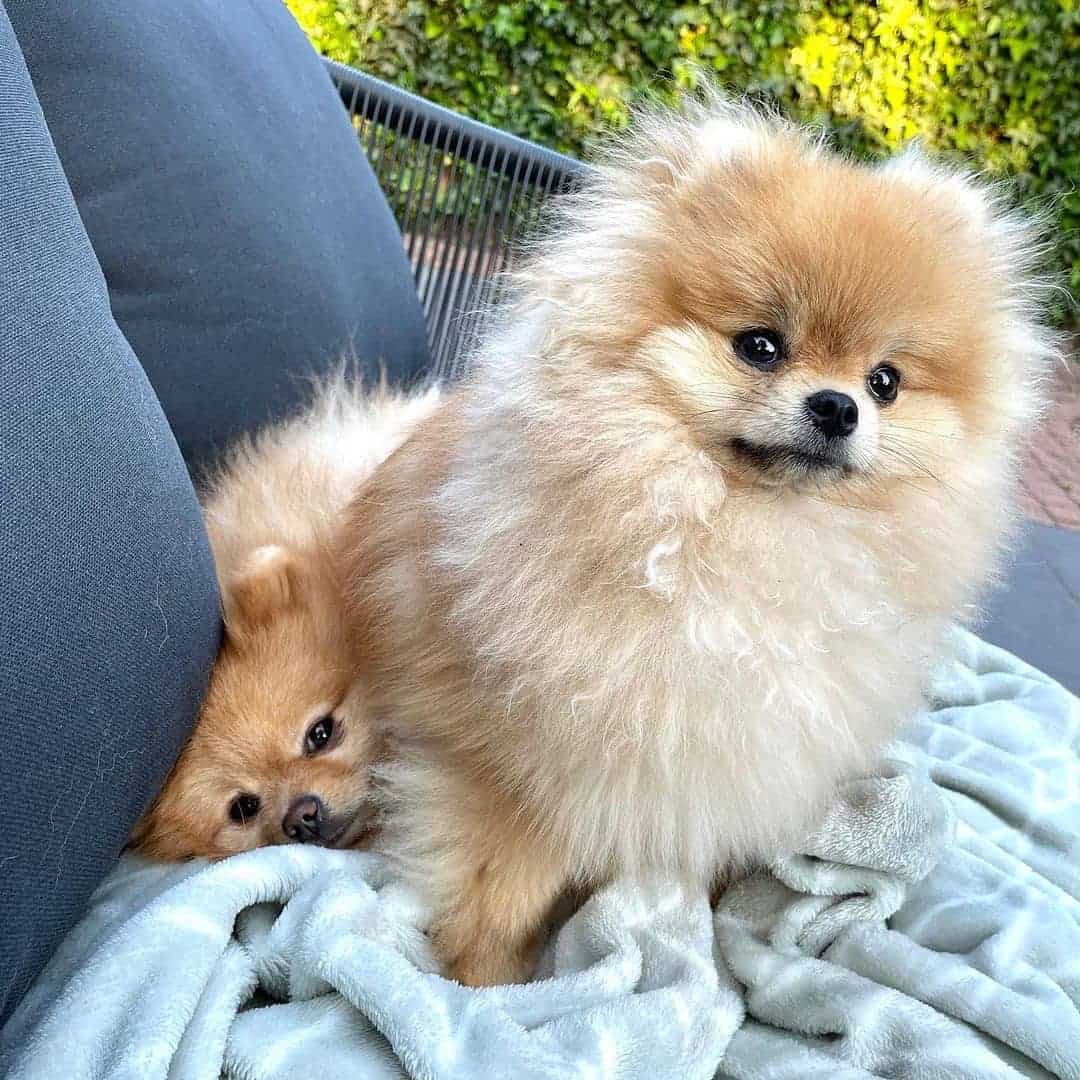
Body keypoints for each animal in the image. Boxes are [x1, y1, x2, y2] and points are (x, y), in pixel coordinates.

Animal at [341, 92, 1058, 989]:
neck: (748, 543)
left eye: (885, 382)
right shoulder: (517, 770)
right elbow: (497, 890)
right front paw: (488, 985)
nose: (838, 406)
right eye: (760, 346)